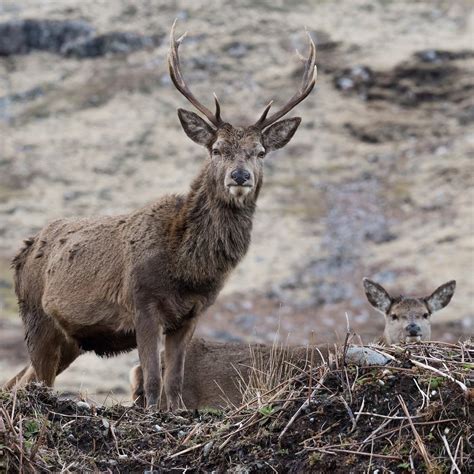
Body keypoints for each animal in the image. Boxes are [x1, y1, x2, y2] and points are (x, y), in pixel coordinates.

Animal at [3, 20, 318, 410]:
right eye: (216, 149)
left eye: (260, 152)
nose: (240, 176)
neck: (186, 267)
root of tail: (22, 252)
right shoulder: (142, 303)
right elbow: (153, 381)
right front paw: (153, 412)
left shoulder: (191, 314)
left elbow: (175, 382)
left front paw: (176, 412)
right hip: (36, 316)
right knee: (30, 380)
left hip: (71, 340)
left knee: (18, 379)